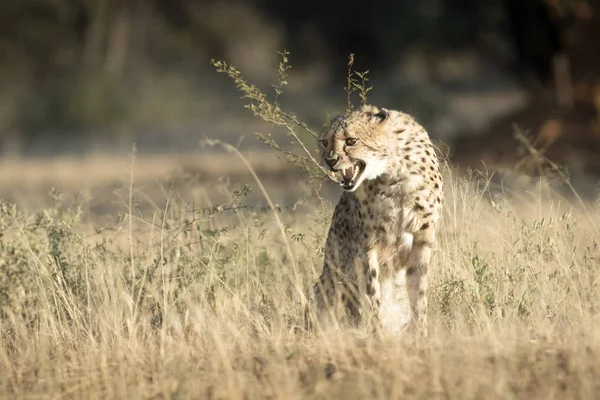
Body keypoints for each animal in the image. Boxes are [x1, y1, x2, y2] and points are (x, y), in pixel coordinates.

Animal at [308, 104, 442, 336]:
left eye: (351, 140)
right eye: (325, 142)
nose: (330, 161)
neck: (394, 172)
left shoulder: (422, 239)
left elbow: (419, 294)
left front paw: (420, 334)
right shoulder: (366, 244)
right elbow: (372, 294)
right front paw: (378, 334)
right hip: (329, 282)